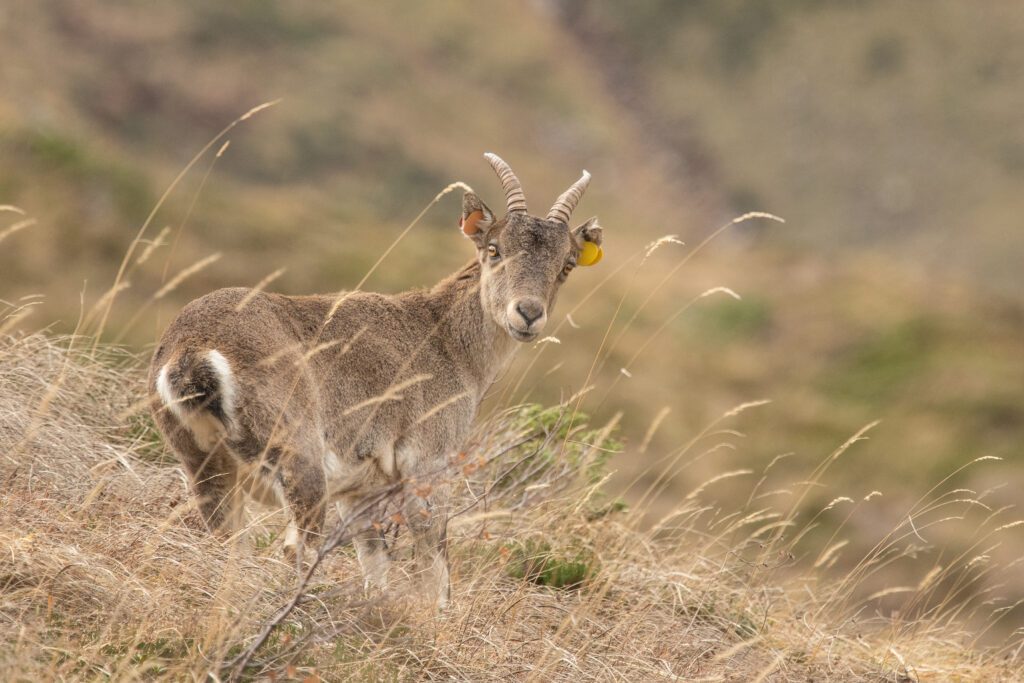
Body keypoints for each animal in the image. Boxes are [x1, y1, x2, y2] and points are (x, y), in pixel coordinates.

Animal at [148, 152, 602, 606]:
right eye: (494, 248)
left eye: (566, 264)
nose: (527, 313)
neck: (445, 340)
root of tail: (192, 352)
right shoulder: (427, 463)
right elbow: (434, 563)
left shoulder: (359, 491)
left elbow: (375, 563)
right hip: (298, 458)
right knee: (296, 544)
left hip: (205, 464)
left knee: (229, 539)